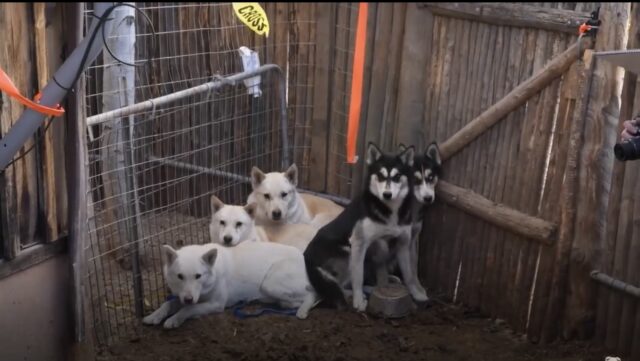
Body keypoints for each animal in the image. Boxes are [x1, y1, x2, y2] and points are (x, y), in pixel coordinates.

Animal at [142, 240, 318, 328]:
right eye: (180, 276)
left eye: (198, 276)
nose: (189, 299)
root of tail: (303, 257)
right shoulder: (184, 296)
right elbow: (168, 304)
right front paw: (154, 316)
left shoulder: (216, 304)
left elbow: (188, 309)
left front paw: (175, 319)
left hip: (270, 283)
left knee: (312, 294)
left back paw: (300, 309)